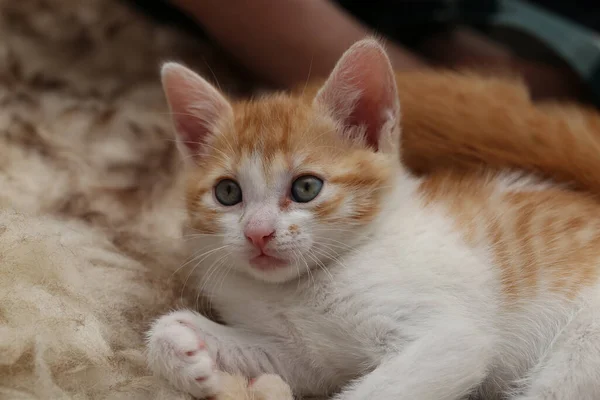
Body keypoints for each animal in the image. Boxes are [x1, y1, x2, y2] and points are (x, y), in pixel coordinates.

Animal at [145, 38, 600, 400]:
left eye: (306, 187)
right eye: (227, 193)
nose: (258, 233)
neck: (298, 290)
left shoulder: (451, 340)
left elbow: (392, 381)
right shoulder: (301, 357)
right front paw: (185, 350)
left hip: (582, 350)